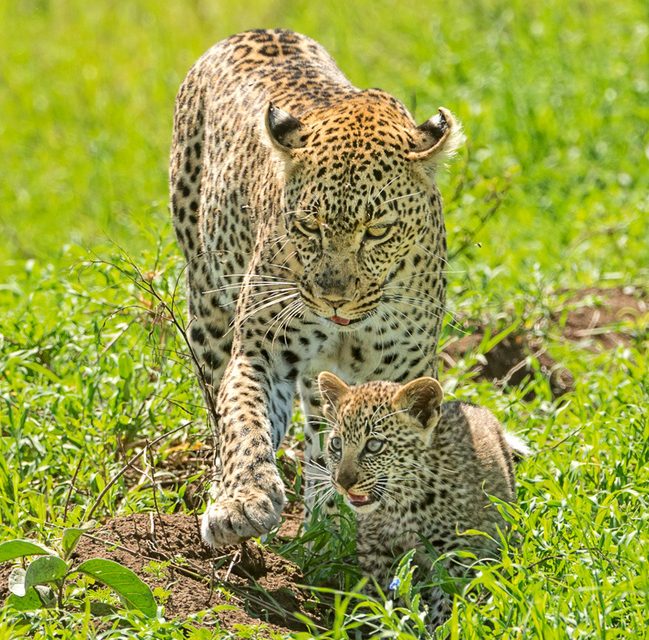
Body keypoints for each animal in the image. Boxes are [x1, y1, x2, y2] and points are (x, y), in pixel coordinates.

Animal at [169, 28, 464, 548]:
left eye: (377, 230)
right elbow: (244, 420)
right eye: (309, 226)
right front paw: (242, 502)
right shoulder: (261, 352)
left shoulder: (398, 373)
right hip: (207, 309)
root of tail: (251, 31)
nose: (333, 299)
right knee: (219, 407)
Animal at [317, 371, 528, 629]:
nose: (342, 482)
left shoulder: (453, 556)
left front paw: (438, 628)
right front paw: (391, 626)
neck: (400, 505)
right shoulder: (375, 551)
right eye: (336, 444)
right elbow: (385, 598)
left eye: (374, 445)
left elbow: (447, 600)